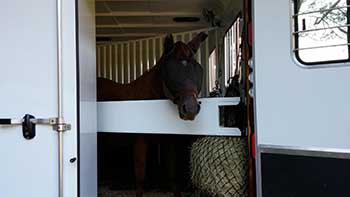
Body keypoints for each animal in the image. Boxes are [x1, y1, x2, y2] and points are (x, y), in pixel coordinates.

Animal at [96, 32, 208, 197]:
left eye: (198, 69)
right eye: (170, 70)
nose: (190, 109)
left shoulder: (169, 141)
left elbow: (173, 176)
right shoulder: (140, 143)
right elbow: (140, 178)